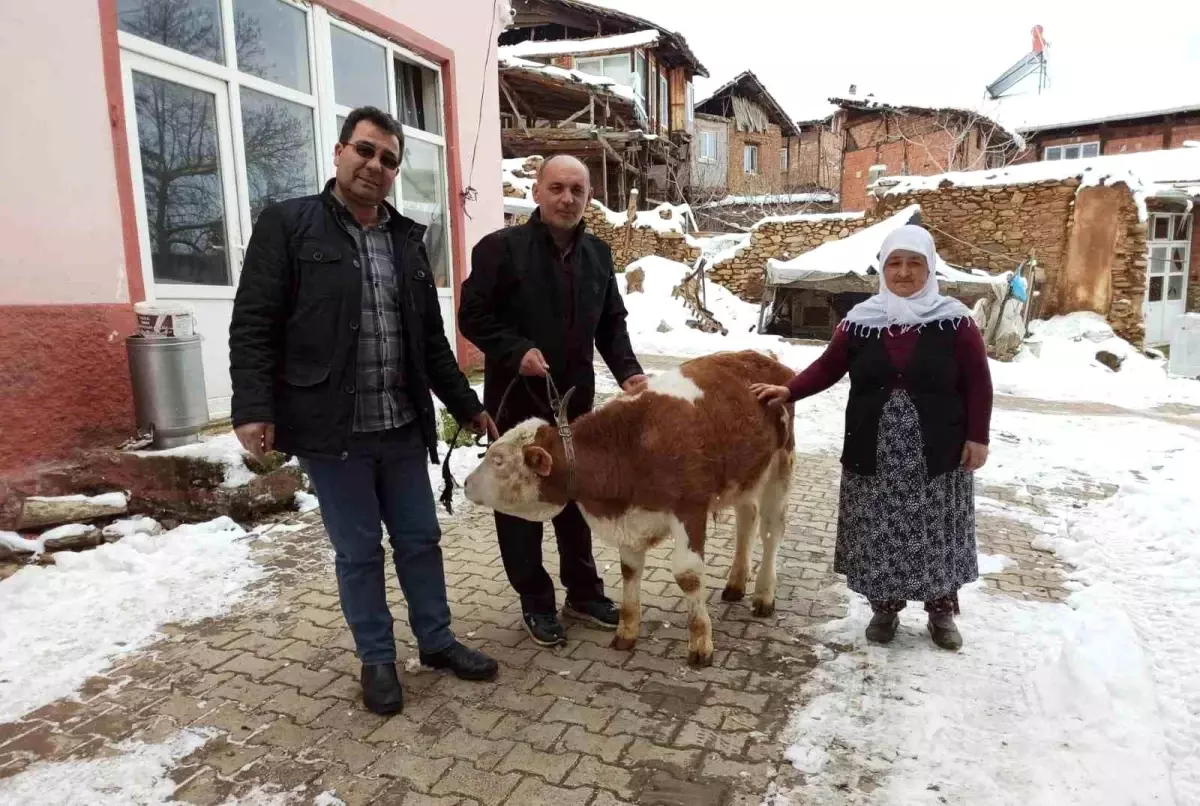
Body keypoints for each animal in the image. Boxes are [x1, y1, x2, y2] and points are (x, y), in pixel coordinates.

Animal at [463, 350, 792, 666]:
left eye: (498, 460)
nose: (465, 483)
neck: (633, 442)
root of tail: (765, 358)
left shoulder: (689, 510)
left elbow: (688, 575)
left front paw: (701, 644)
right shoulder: (630, 520)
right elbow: (630, 570)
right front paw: (626, 633)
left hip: (780, 465)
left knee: (771, 531)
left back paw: (764, 595)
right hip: (746, 476)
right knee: (747, 519)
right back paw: (736, 583)